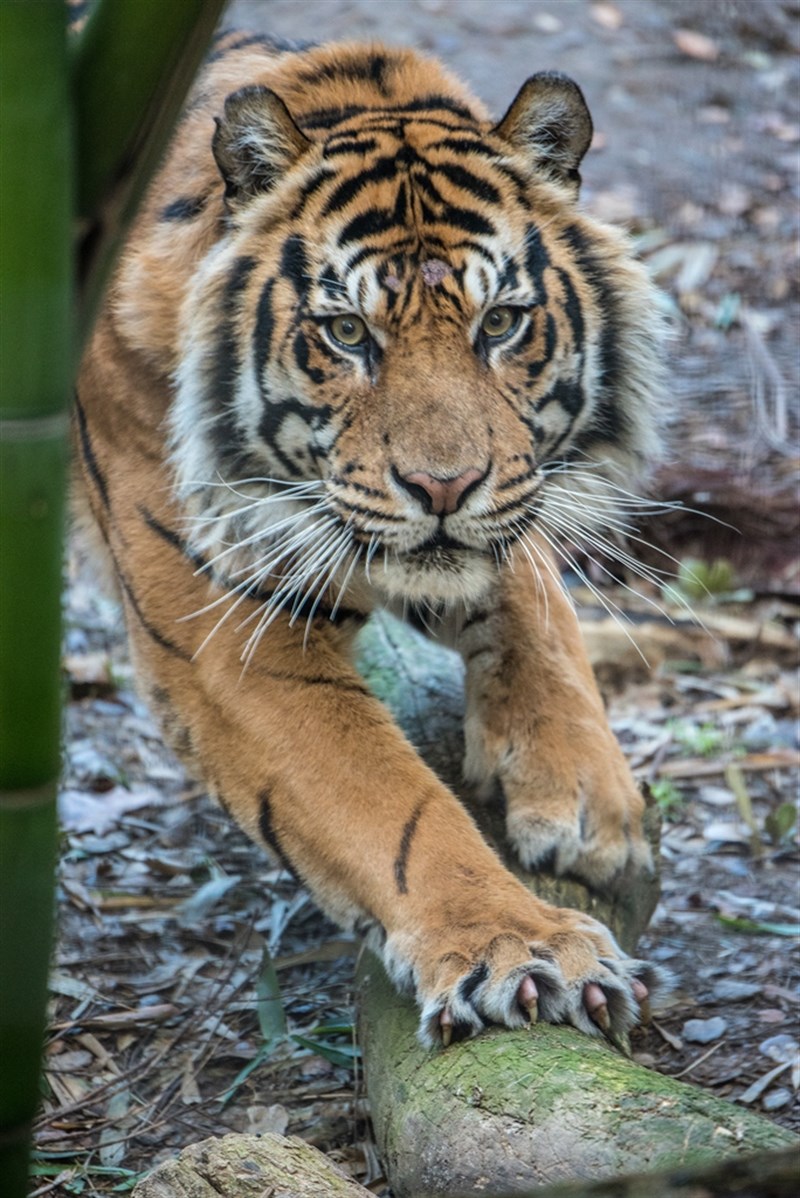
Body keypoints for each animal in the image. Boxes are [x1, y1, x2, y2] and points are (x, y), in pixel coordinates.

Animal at [74, 30, 668, 1048]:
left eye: (500, 323)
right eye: (347, 333)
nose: (443, 486)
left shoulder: (504, 511)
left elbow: (542, 614)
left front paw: (593, 806)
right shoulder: (229, 642)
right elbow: (393, 807)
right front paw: (520, 947)